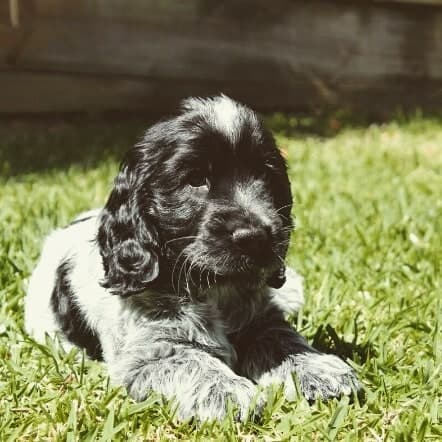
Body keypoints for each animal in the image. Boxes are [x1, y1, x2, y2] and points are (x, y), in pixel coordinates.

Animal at [25, 96, 360, 422]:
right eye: (196, 179)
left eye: (265, 175)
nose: (255, 238)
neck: (213, 288)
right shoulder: (152, 352)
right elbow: (192, 361)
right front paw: (226, 391)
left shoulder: (261, 319)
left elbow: (281, 337)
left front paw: (319, 369)